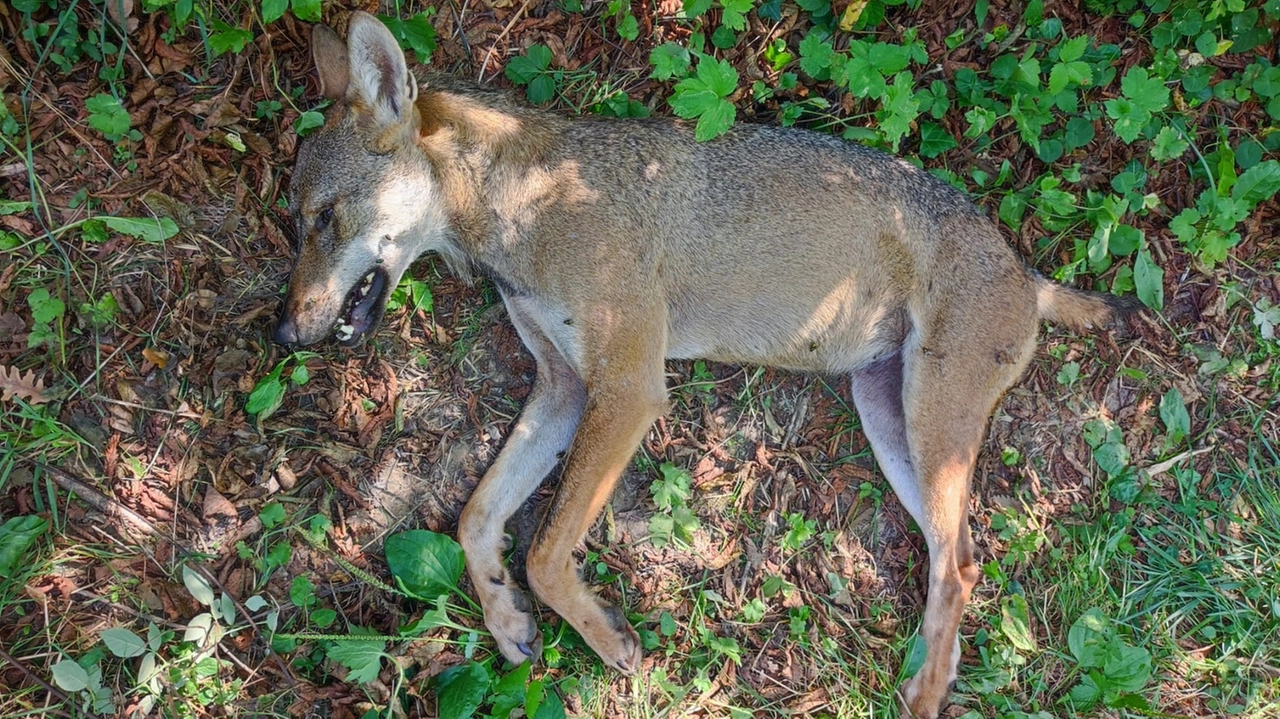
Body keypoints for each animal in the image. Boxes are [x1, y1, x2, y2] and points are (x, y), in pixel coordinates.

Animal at [272, 12, 1131, 716]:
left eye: (324, 218)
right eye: (296, 224)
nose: (283, 331)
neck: (523, 209)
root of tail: (1025, 270)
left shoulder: (626, 388)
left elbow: (544, 551)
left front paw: (602, 636)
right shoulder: (563, 390)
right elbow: (475, 516)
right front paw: (505, 617)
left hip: (929, 430)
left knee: (958, 567)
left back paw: (924, 692)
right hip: (893, 428)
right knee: (962, 561)